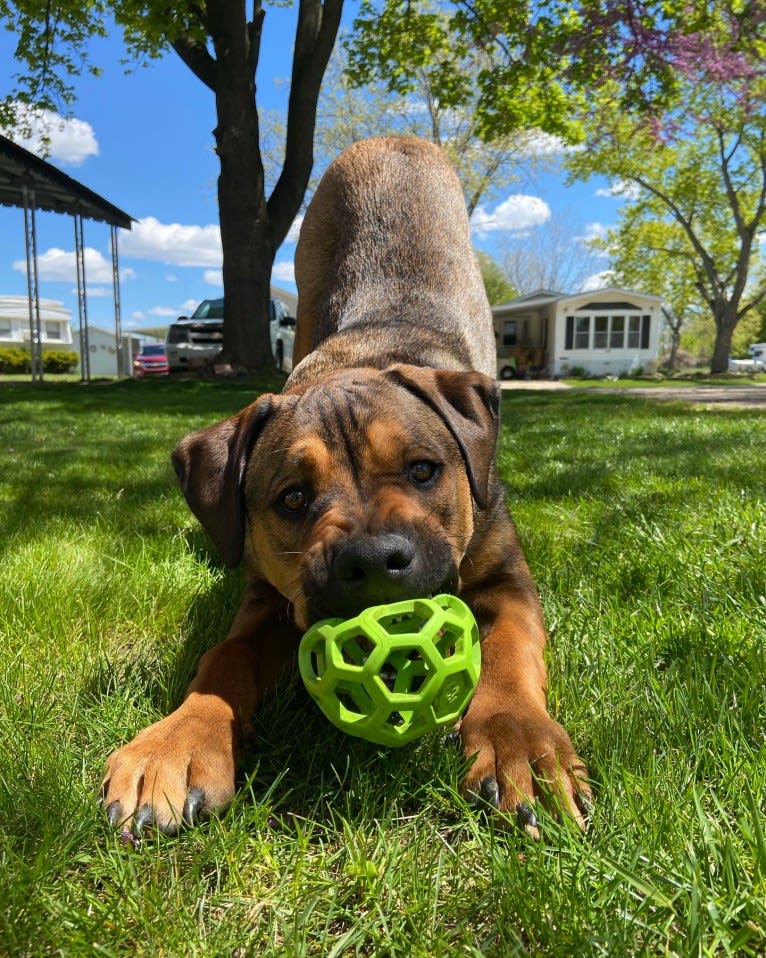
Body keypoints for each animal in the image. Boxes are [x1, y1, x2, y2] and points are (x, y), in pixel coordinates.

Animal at [102, 139, 592, 836]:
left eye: (423, 470)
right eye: (292, 498)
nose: (376, 560)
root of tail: (388, 142)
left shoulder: (507, 580)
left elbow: (510, 654)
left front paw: (521, 744)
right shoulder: (267, 599)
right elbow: (224, 657)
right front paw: (174, 743)